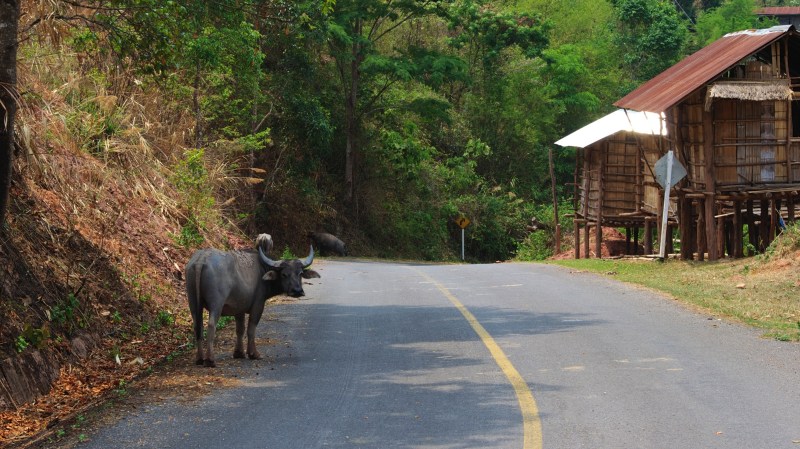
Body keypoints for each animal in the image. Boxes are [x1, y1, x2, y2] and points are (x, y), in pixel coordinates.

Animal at [185, 234, 320, 367]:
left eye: (300, 273)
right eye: (284, 274)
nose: (297, 291)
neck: (263, 270)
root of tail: (201, 260)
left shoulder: (238, 308)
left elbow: (240, 329)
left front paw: (239, 353)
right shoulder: (258, 305)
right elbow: (251, 328)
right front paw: (253, 353)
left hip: (193, 302)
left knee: (197, 326)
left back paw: (199, 358)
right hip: (216, 304)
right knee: (211, 325)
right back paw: (210, 360)